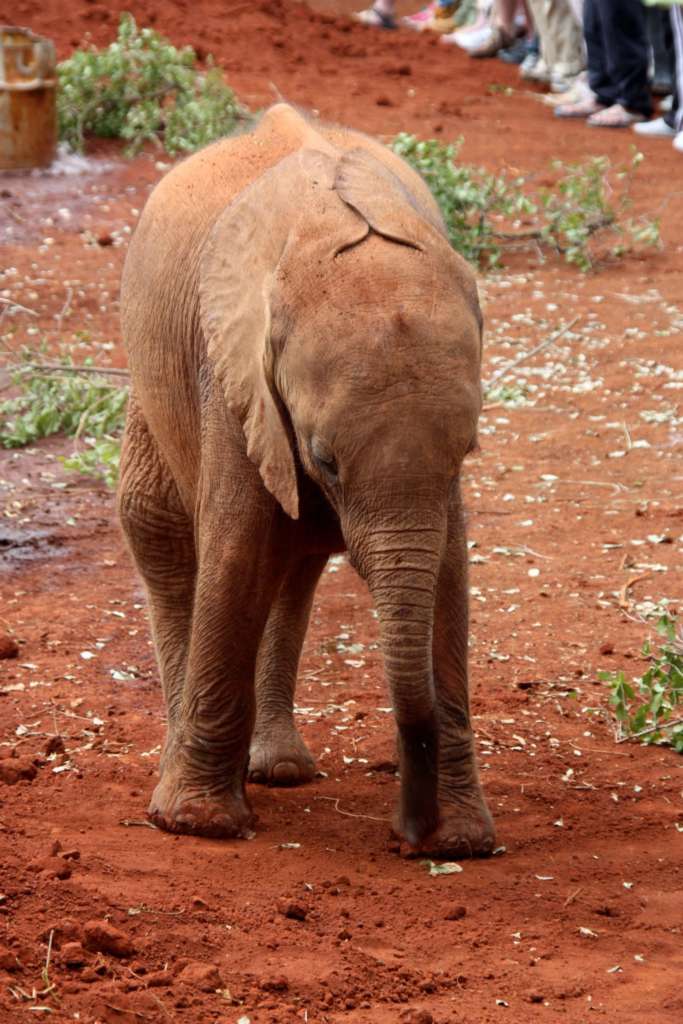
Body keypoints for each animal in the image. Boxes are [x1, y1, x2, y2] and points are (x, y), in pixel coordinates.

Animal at [118, 103, 495, 858]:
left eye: (467, 449)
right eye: (324, 460)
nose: (409, 833)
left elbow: (446, 575)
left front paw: (461, 842)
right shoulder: (234, 380)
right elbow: (235, 554)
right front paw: (200, 826)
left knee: (294, 568)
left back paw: (280, 770)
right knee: (159, 529)